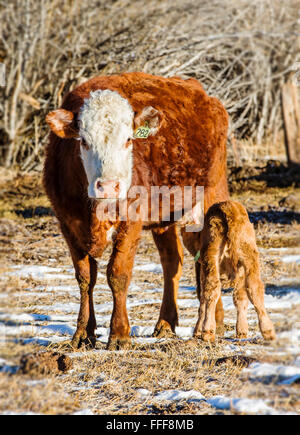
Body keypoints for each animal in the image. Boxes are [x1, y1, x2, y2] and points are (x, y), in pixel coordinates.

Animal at [43, 71, 229, 350]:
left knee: (210, 257)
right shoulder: (67, 222)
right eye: (83, 141)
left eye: (128, 139)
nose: (109, 185)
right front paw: (83, 333)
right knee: (172, 262)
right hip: (165, 215)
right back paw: (165, 323)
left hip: (213, 195)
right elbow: (85, 277)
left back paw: (215, 321)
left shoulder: (131, 221)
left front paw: (119, 334)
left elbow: (117, 273)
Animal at [193, 201, 276, 344]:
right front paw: (242, 331)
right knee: (254, 288)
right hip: (248, 255)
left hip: (211, 256)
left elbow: (202, 301)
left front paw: (197, 331)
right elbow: (241, 298)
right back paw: (268, 332)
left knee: (211, 289)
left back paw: (207, 332)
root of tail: (228, 207)